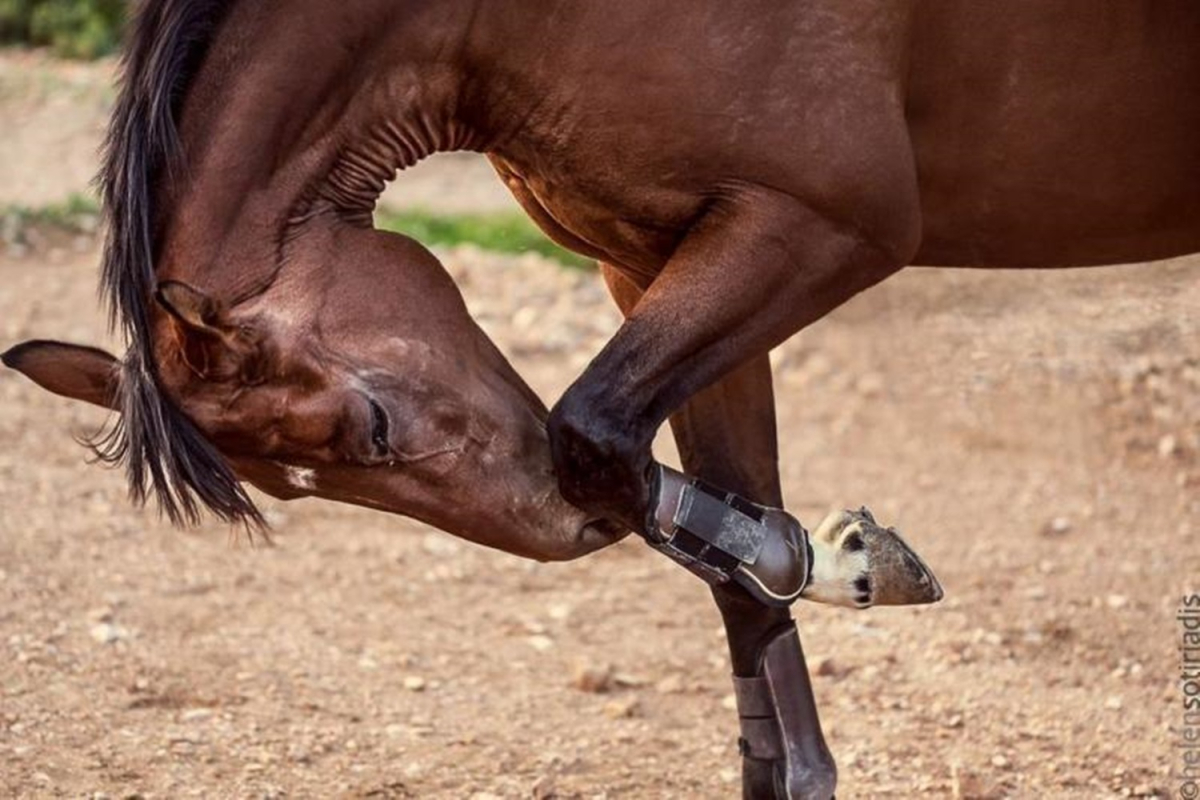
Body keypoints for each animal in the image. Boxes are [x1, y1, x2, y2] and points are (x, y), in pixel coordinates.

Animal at [2, 3, 1200, 796]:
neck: (516, 20)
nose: (565, 532)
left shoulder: (823, 227)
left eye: (375, 425)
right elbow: (732, 561)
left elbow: (594, 432)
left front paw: (858, 558)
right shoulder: (654, 257)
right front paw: (832, 564)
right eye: (292, 491)